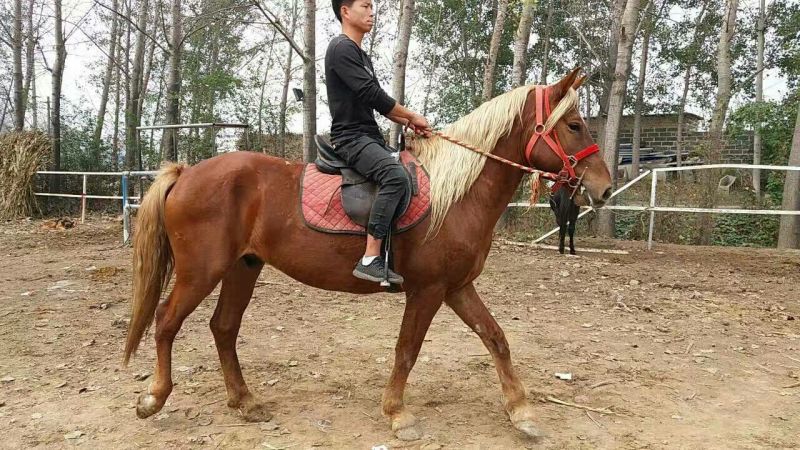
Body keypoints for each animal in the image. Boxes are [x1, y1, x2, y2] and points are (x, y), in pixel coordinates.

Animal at [123, 68, 612, 440]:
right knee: (166, 321)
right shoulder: (429, 290)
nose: (605, 187)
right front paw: (398, 413)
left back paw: (245, 402)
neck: (456, 194)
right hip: (201, 270)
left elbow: (496, 338)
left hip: (243, 268)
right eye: (574, 125)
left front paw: (522, 411)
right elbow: (407, 349)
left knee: (223, 328)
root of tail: (187, 172)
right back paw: (153, 397)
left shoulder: (457, 287)